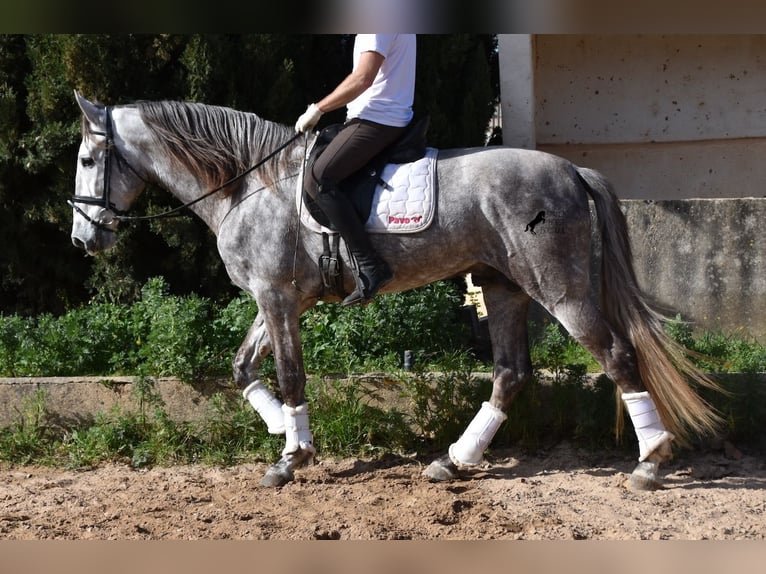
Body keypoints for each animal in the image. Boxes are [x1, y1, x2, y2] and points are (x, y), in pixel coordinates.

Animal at [69, 90, 724, 490]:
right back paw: (454, 462)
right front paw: (284, 432)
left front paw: (291, 456)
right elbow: (242, 369)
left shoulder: (278, 298)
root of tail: (570, 170)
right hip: (503, 287)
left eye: (86, 160)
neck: (249, 185)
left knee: (616, 355)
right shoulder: (271, 298)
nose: (81, 240)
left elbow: (289, 375)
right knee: (511, 372)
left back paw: (649, 464)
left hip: (558, 289)